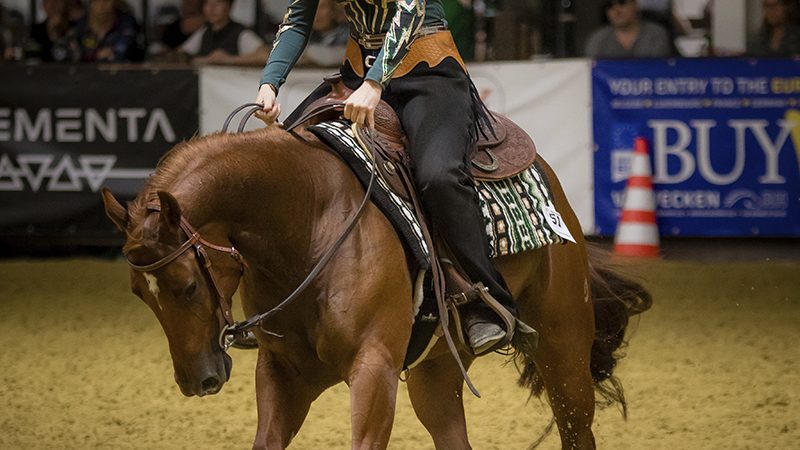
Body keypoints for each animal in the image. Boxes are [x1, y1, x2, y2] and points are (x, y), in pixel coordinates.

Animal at [101, 120, 648, 450]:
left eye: (187, 286)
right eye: (138, 293)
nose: (198, 381)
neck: (310, 222)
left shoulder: (374, 371)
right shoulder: (284, 374)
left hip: (564, 349)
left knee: (577, 426)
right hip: (436, 372)